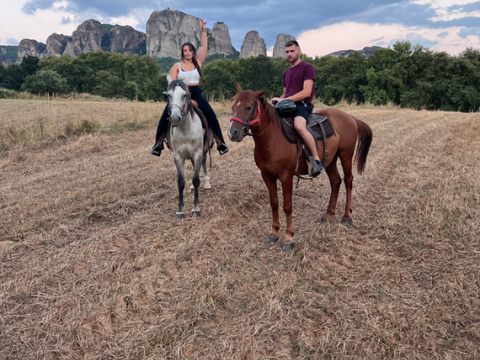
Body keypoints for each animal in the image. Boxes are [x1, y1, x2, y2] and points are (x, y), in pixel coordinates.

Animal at [165, 74, 214, 218]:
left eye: (185, 95)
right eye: (168, 95)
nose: (175, 118)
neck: (185, 129)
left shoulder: (197, 153)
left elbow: (196, 180)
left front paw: (195, 209)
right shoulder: (178, 156)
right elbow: (181, 182)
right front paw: (180, 210)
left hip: (202, 151)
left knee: (203, 164)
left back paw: (207, 182)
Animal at [227, 84, 374, 250]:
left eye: (248, 107)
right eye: (233, 107)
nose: (232, 133)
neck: (272, 138)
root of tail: (350, 117)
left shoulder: (286, 176)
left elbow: (287, 206)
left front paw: (289, 237)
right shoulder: (267, 176)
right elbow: (274, 203)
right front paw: (274, 232)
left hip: (346, 155)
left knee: (348, 181)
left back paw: (347, 216)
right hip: (330, 161)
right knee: (336, 182)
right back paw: (328, 213)